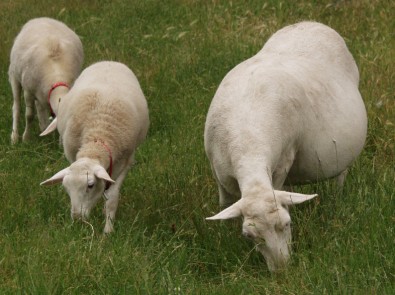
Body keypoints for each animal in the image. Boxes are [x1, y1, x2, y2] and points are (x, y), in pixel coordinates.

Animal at [8, 17, 83, 145]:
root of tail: (40, 18)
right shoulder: (28, 91)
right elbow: (29, 115)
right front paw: (26, 138)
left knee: (40, 106)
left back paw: (43, 126)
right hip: (14, 75)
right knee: (16, 107)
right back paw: (14, 137)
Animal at [40, 61, 149, 235]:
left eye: (90, 185)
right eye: (66, 187)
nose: (77, 218)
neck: (96, 140)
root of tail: (109, 61)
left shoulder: (126, 161)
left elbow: (112, 198)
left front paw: (108, 231)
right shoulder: (73, 155)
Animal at [204, 22, 368, 274]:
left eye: (288, 224)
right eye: (248, 236)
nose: (282, 271)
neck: (248, 140)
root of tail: (312, 23)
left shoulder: (283, 161)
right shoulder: (219, 173)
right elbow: (225, 204)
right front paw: (222, 237)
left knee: (341, 176)